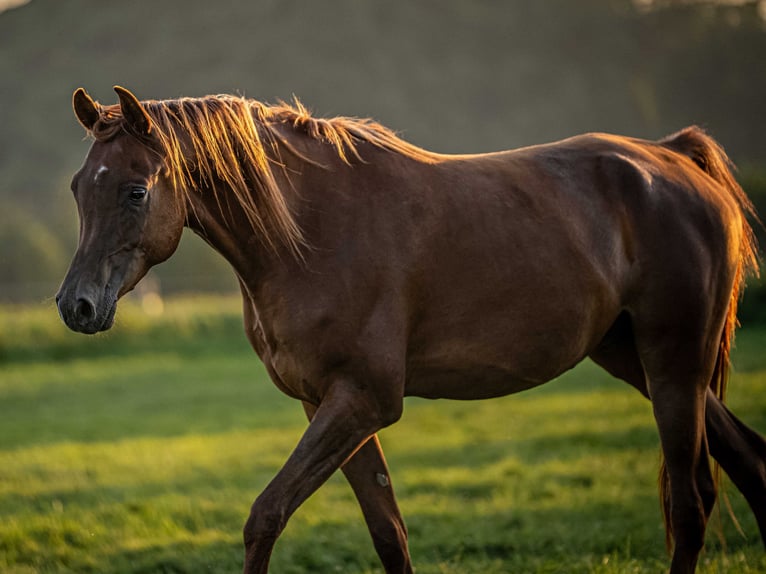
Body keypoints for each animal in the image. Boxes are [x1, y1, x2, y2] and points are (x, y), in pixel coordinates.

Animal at [56, 86, 766, 574]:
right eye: (78, 188)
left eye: (136, 191)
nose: (75, 306)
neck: (311, 236)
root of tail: (674, 158)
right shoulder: (328, 404)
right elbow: (388, 535)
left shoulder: (363, 400)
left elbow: (266, 516)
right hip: (644, 362)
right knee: (748, 467)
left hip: (674, 366)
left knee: (691, 502)